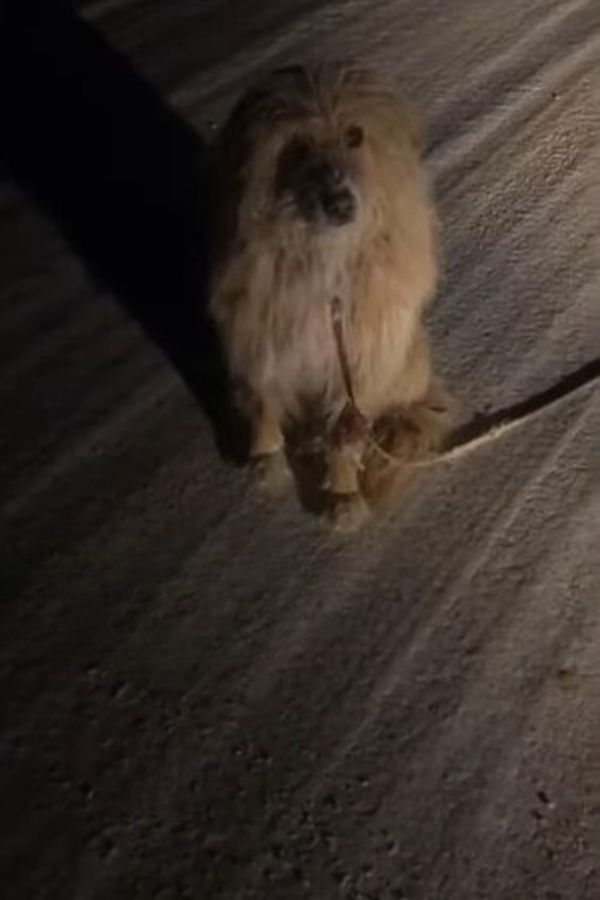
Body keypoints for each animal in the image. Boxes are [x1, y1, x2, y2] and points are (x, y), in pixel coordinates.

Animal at [209, 65, 448, 528]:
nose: (339, 203)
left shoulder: (361, 365)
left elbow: (343, 436)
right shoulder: (261, 336)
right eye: (299, 146)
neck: (327, 259)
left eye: (355, 135)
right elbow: (264, 402)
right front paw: (266, 462)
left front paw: (343, 497)